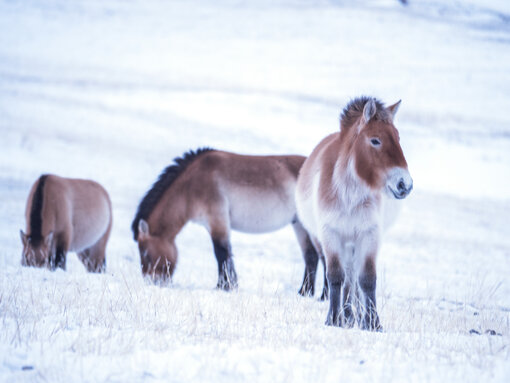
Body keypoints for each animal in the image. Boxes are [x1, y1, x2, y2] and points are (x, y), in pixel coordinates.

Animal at [130, 148, 322, 294]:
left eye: (145, 253)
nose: (151, 281)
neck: (190, 186)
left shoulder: (217, 220)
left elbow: (221, 253)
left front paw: (223, 286)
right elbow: (226, 254)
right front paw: (229, 285)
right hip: (299, 225)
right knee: (311, 256)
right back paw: (305, 292)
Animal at [296, 97, 412, 332]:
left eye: (398, 138)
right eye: (375, 140)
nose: (404, 184)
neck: (349, 192)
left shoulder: (369, 234)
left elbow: (367, 279)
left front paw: (373, 323)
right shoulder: (330, 234)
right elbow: (335, 277)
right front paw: (334, 319)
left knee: (354, 279)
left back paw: (356, 316)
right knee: (348, 277)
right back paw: (348, 316)